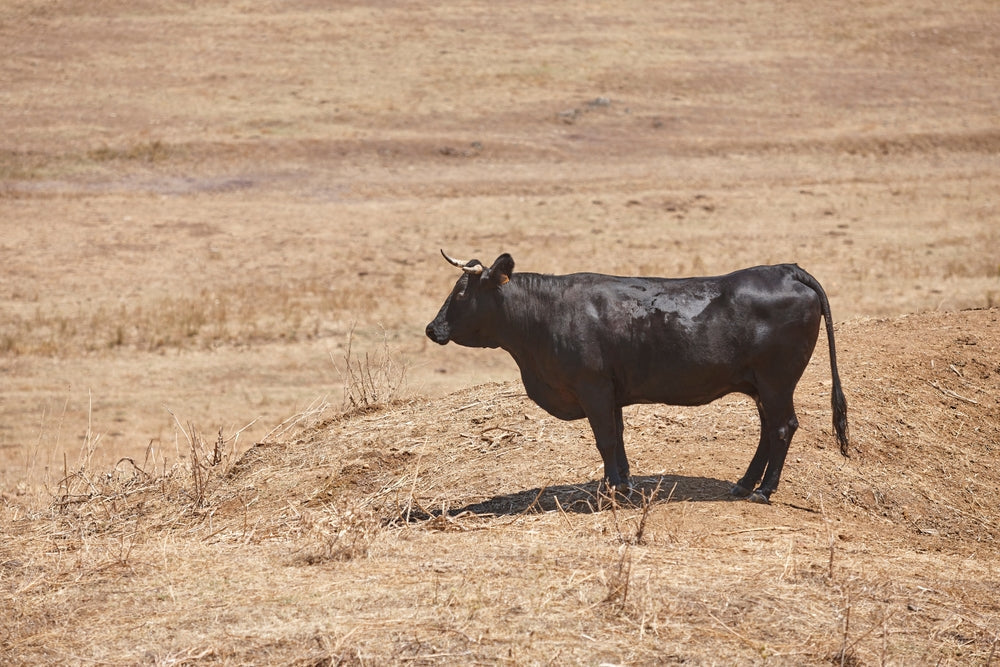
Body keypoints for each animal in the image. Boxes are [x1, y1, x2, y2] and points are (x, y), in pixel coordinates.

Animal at [426, 250, 849, 504]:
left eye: (461, 293)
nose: (433, 328)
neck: (547, 313)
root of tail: (787, 270)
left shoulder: (593, 387)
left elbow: (605, 440)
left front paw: (612, 489)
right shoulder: (610, 392)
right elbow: (618, 437)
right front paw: (623, 483)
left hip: (777, 382)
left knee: (782, 427)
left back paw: (764, 490)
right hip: (761, 386)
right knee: (768, 430)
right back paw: (744, 484)